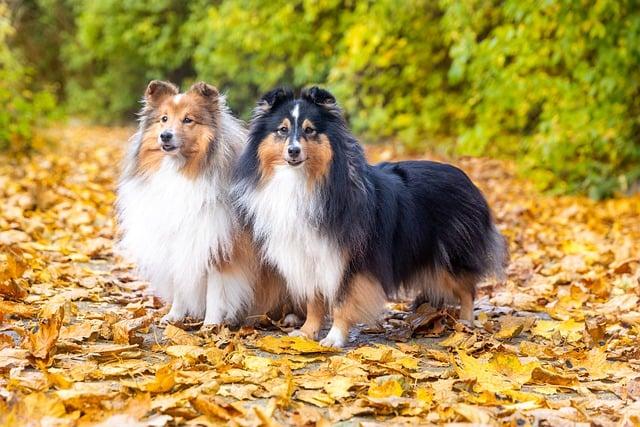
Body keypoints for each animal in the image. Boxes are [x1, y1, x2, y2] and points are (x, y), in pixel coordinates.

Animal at [115, 80, 258, 324]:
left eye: (188, 120)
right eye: (164, 118)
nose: (165, 136)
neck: (179, 170)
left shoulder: (218, 246)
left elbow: (215, 292)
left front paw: (211, 325)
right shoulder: (180, 243)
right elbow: (180, 284)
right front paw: (174, 317)